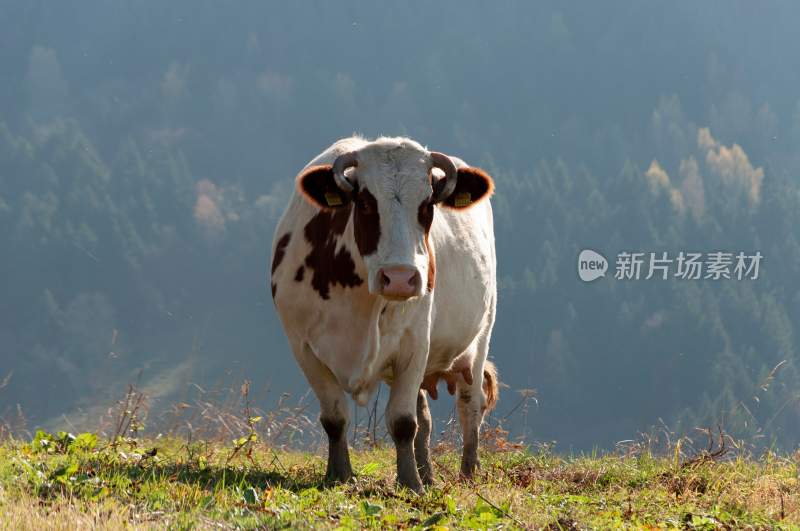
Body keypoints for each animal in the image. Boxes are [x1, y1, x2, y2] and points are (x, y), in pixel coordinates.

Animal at [274, 135, 500, 492]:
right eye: (366, 203)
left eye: (427, 204)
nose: (399, 277)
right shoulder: (302, 346)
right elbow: (335, 418)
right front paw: (339, 474)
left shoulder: (415, 345)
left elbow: (403, 422)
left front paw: (410, 483)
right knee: (426, 419)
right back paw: (428, 472)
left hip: (480, 337)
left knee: (470, 404)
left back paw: (467, 472)